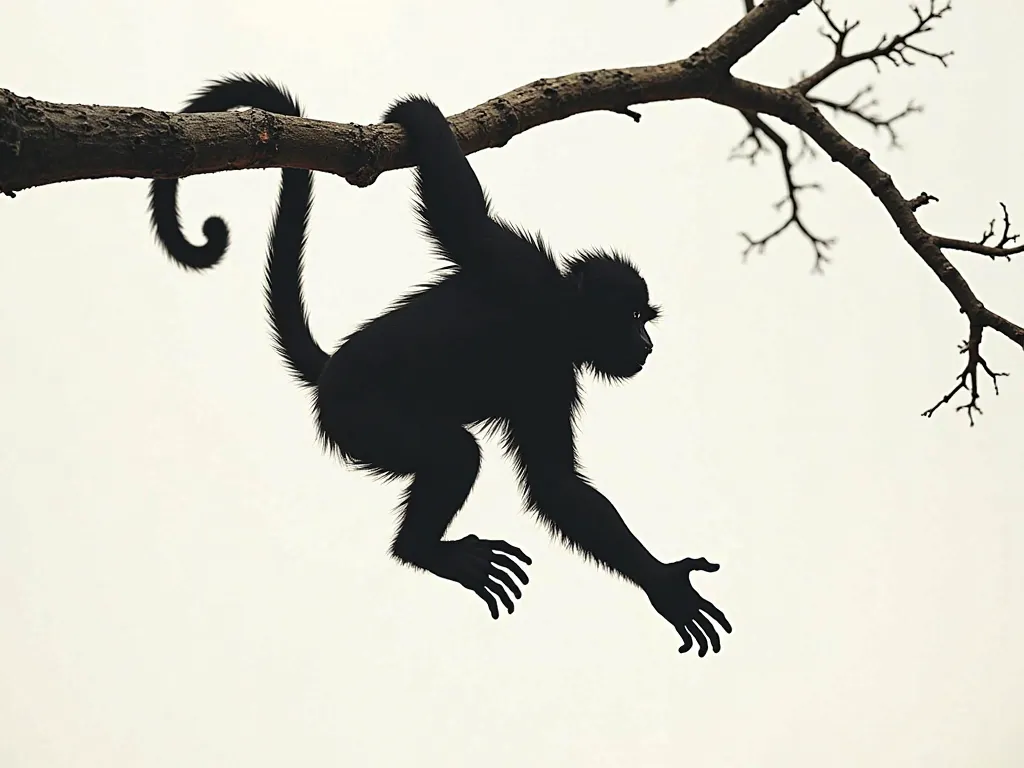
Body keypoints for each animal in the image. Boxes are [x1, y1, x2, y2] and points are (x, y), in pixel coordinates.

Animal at [148, 76, 733, 655]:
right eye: (633, 317)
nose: (646, 344)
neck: (554, 319)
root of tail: (332, 371)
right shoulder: (517, 264)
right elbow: (460, 211)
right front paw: (415, 113)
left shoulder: (551, 376)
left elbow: (556, 485)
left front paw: (661, 581)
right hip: (359, 418)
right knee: (455, 452)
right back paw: (421, 549)